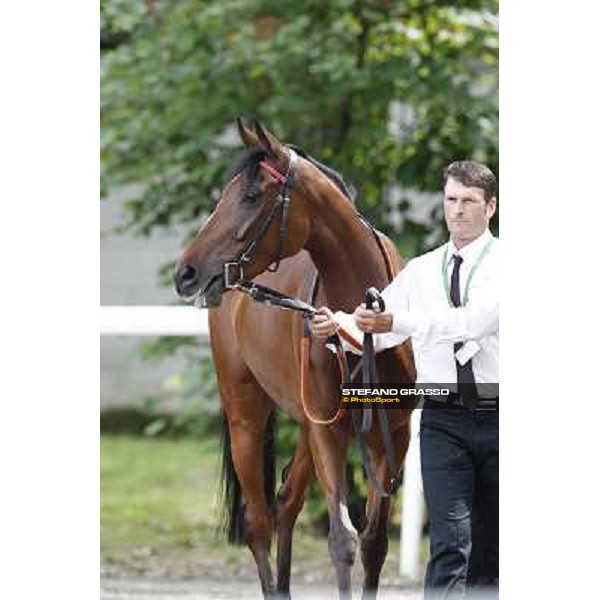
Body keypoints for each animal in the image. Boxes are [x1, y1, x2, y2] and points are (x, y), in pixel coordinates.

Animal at [176, 119, 414, 596]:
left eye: (251, 196)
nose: (185, 273)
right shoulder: (329, 433)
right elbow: (342, 541)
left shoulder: (393, 434)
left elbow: (375, 543)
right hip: (247, 416)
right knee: (258, 522)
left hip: (309, 428)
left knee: (286, 502)